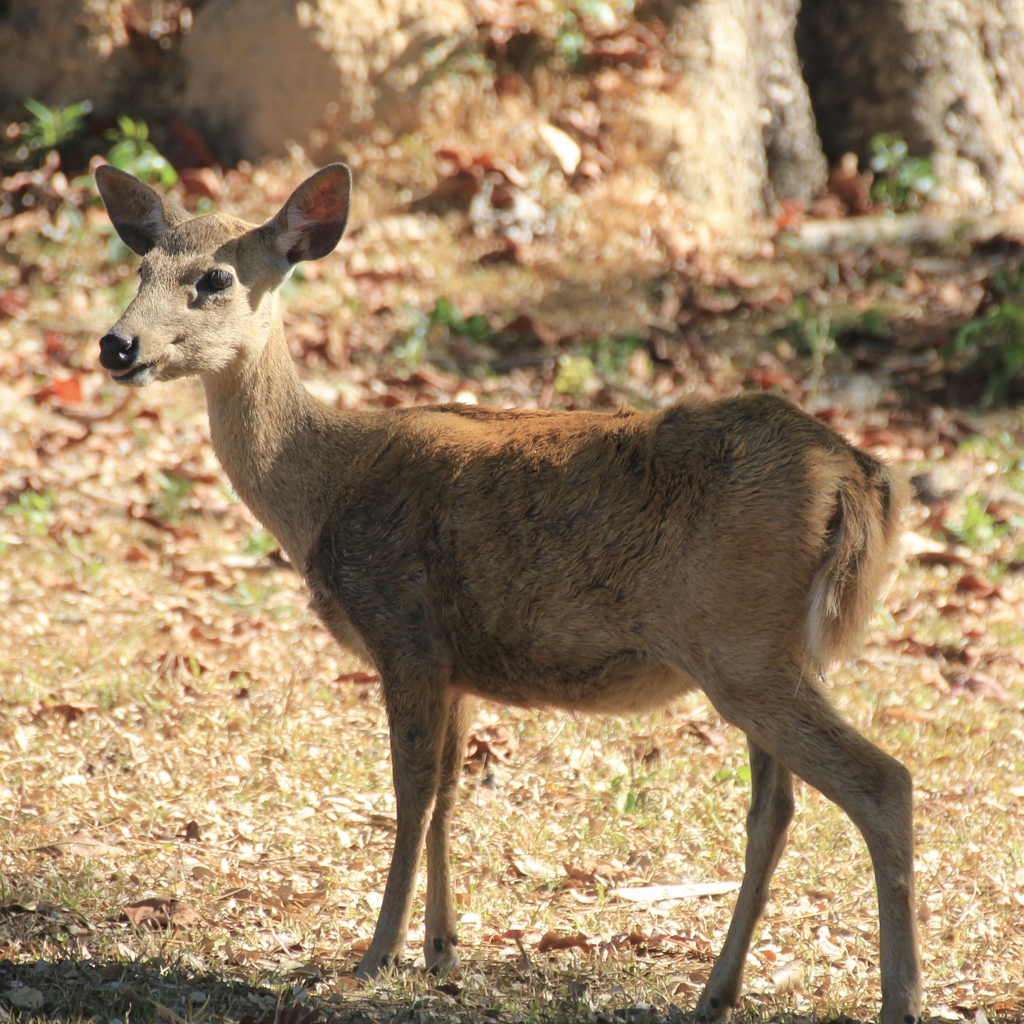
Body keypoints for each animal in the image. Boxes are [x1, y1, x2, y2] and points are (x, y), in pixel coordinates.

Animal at [95, 162, 922, 1024]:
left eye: (215, 278)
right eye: (141, 267)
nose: (117, 344)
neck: (325, 485)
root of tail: (856, 475)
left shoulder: (404, 629)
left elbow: (411, 795)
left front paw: (376, 955)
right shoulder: (457, 664)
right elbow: (449, 794)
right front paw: (441, 948)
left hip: (741, 643)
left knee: (881, 783)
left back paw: (897, 997)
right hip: (770, 650)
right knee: (777, 809)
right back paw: (716, 991)